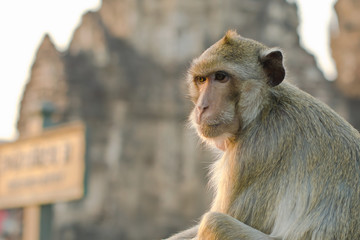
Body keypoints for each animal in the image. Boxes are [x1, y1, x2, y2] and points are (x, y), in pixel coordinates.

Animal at [165, 30, 360, 240]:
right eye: (201, 80)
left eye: (221, 77)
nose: (201, 107)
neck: (263, 108)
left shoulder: (252, 155)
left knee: (215, 223)